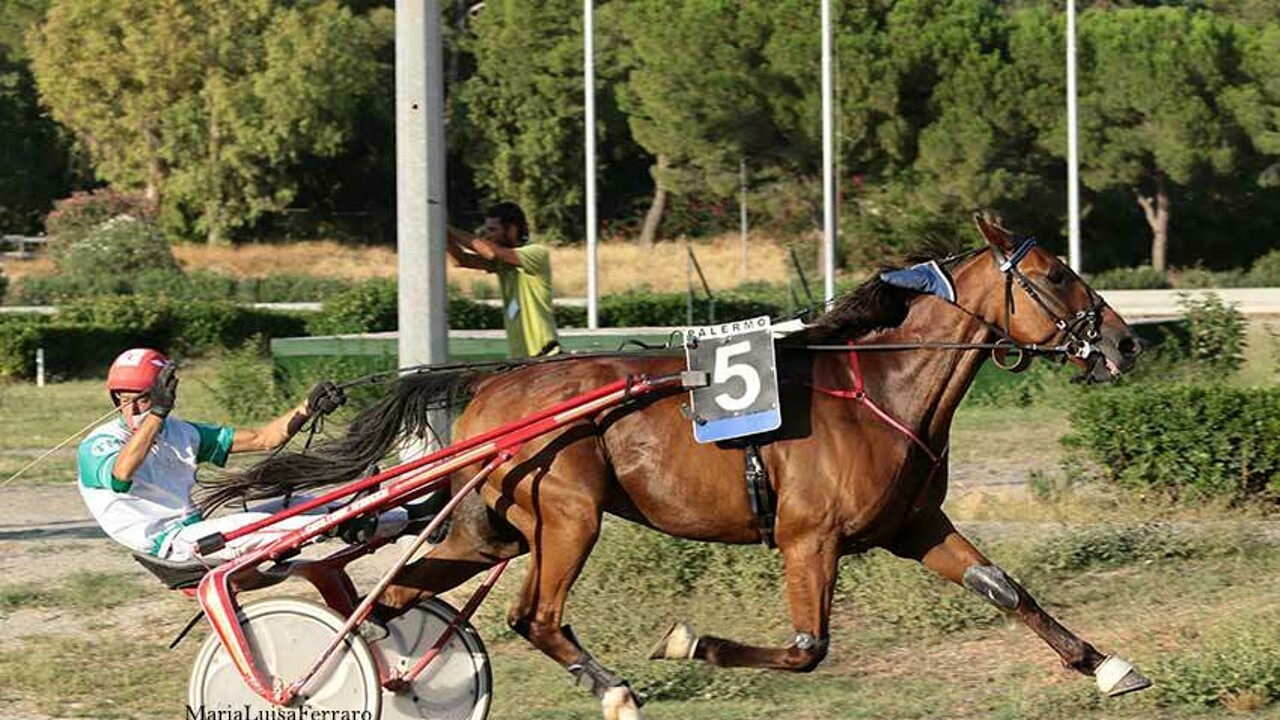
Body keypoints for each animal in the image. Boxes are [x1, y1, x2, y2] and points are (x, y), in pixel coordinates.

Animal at [200, 214, 1148, 719]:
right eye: (1056, 274)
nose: (1125, 343)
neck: (878, 385)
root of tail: (492, 381)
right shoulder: (809, 538)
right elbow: (806, 648)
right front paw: (691, 641)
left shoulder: (914, 525)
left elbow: (1005, 588)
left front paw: (1108, 665)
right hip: (568, 514)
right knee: (532, 616)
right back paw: (612, 688)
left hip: (489, 530)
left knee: (392, 597)